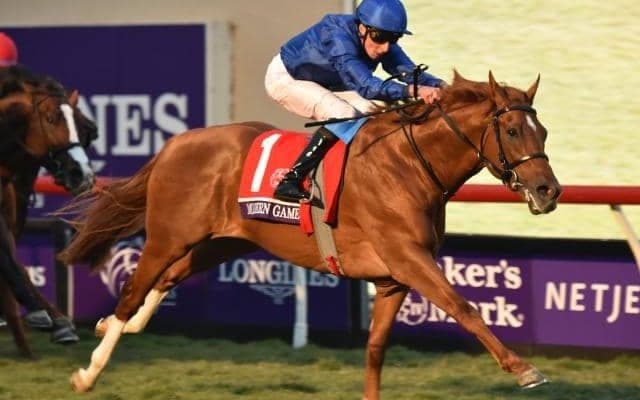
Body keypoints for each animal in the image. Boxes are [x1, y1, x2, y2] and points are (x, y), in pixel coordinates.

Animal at [0, 64, 96, 357]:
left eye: (80, 125)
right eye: (51, 119)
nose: (82, 173)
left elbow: (14, 261)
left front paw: (58, 321)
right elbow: (9, 261)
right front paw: (39, 314)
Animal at [61, 71, 561, 398]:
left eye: (543, 130)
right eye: (512, 130)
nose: (549, 191)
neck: (409, 165)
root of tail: (174, 144)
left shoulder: (393, 278)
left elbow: (375, 351)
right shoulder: (407, 257)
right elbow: (464, 308)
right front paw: (524, 369)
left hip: (223, 241)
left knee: (167, 278)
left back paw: (110, 327)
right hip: (168, 235)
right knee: (132, 289)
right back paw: (89, 372)